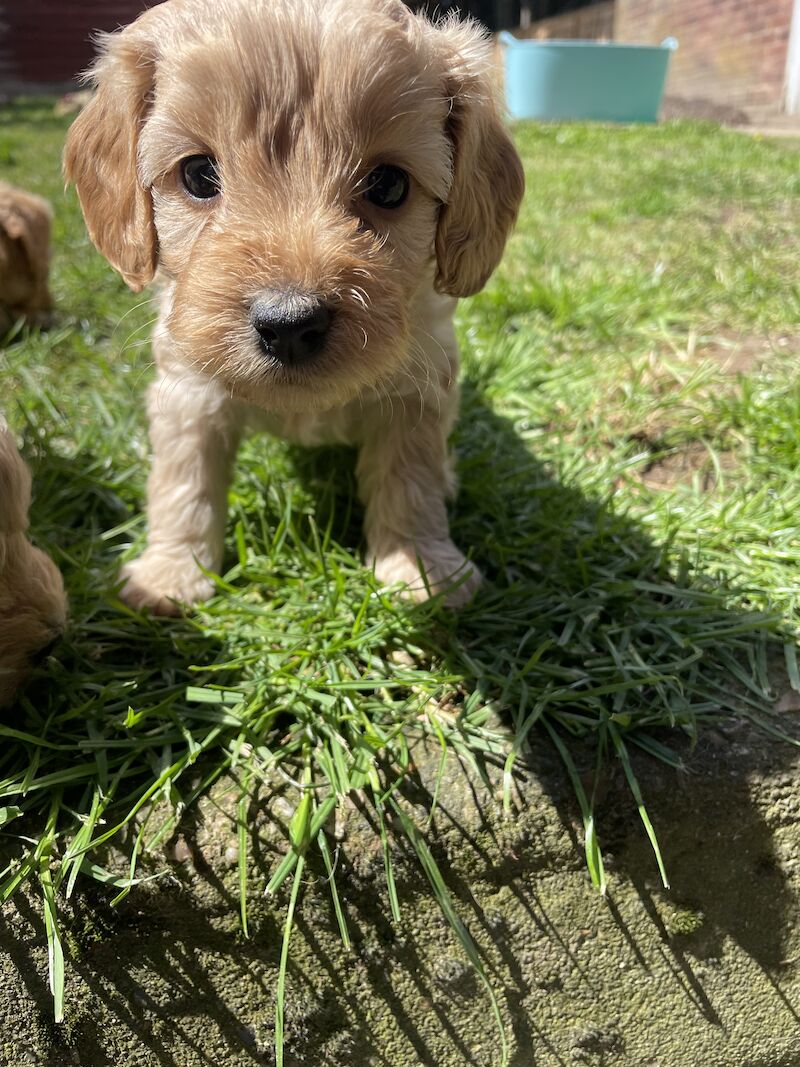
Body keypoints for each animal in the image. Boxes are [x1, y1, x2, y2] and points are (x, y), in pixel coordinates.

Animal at [64, 0, 526, 610]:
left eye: (388, 185)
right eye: (197, 174)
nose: (288, 325)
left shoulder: (419, 388)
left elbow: (412, 478)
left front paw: (420, 568)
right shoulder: (188, 392)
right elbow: (184, 481)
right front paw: (170, 575)